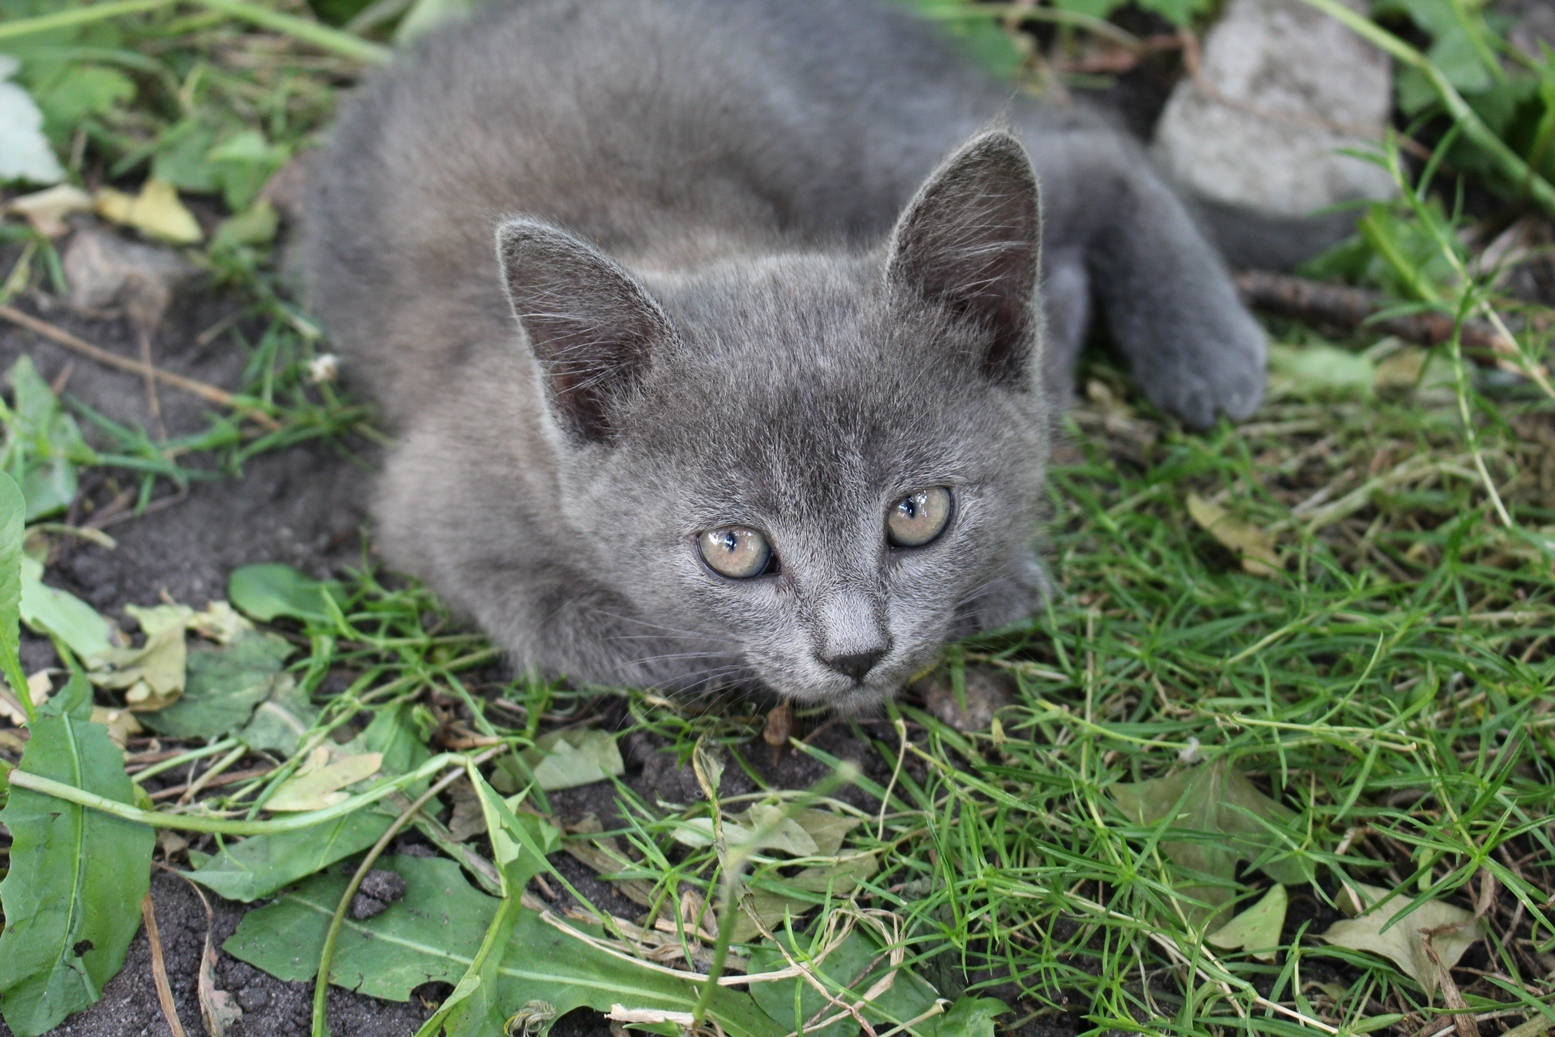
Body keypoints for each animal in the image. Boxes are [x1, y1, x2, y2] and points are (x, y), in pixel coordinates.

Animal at [303, 0, 1262, 708]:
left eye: (918, 512)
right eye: (733, 548)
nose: (855, 653)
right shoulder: (437, 510)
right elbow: (605, 637)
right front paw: (999, 588)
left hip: (864, 139)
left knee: (1095, 150)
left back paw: (1204, 345)